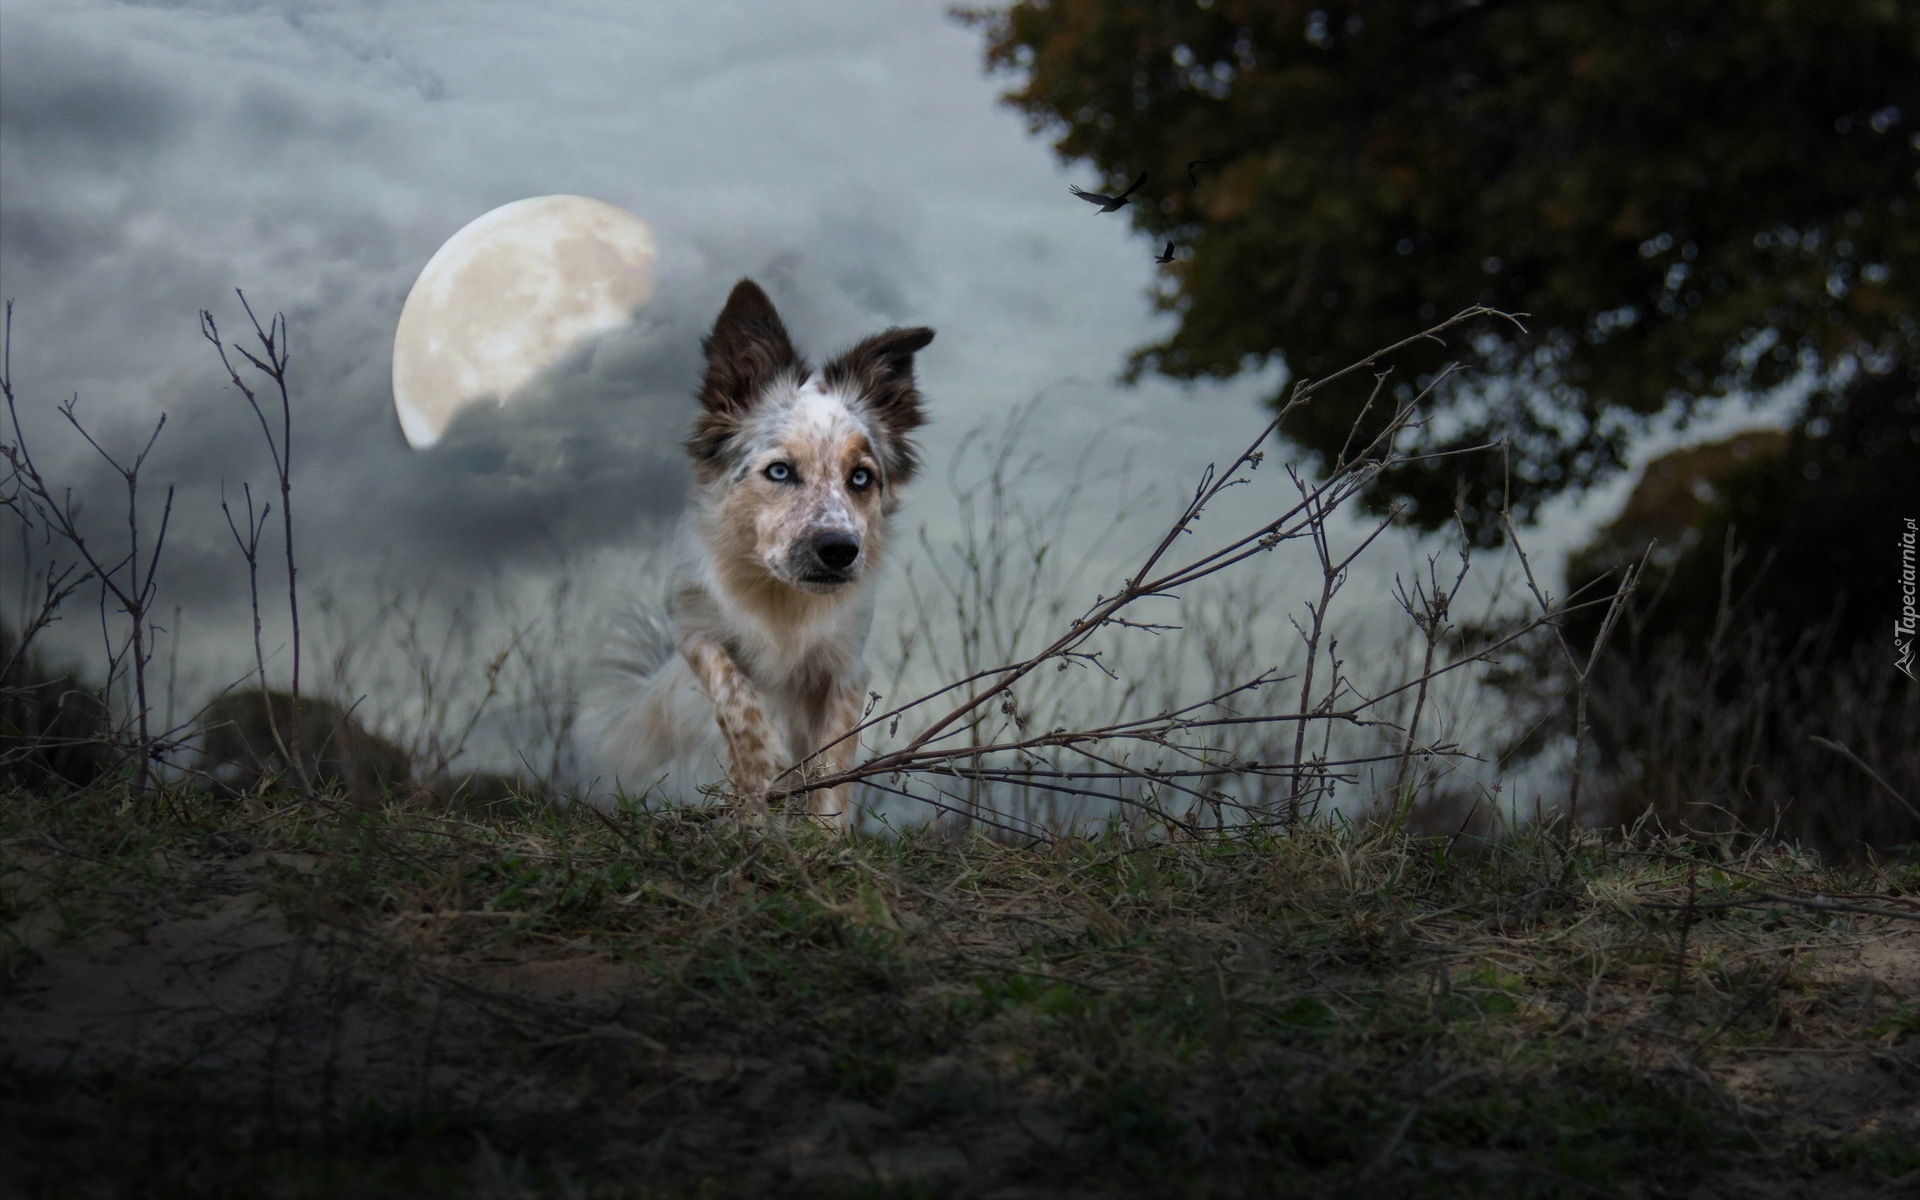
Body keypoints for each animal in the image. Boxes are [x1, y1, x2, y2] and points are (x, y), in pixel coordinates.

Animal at [591, 280, 936, 829]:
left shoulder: (845, 667)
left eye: (861, 477)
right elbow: (738, 702)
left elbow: (831, 761)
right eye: (779, 471)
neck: (781, 598)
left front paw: (825, 834)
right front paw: (754, 810)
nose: (840, 551)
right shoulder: (694, 631)